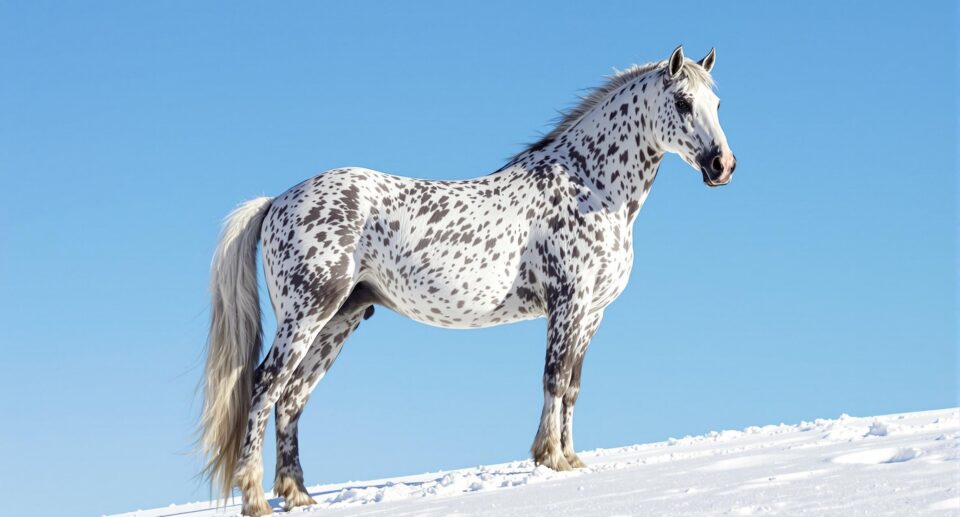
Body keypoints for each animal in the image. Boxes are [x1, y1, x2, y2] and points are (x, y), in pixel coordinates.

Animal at [199, 45, 736, 516]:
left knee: (293, 397)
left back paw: (299, 496)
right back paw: (254, 499)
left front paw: (571, 459)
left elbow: (573, 387)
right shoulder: (567, 305)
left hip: (339, 319)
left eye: (717, 104)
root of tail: (276, 201)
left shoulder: (592, 314)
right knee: (265, 386)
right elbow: (554, 378)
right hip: (307, 313)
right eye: (683, 101)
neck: (589, 185)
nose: (721, 165)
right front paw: (551, 459)